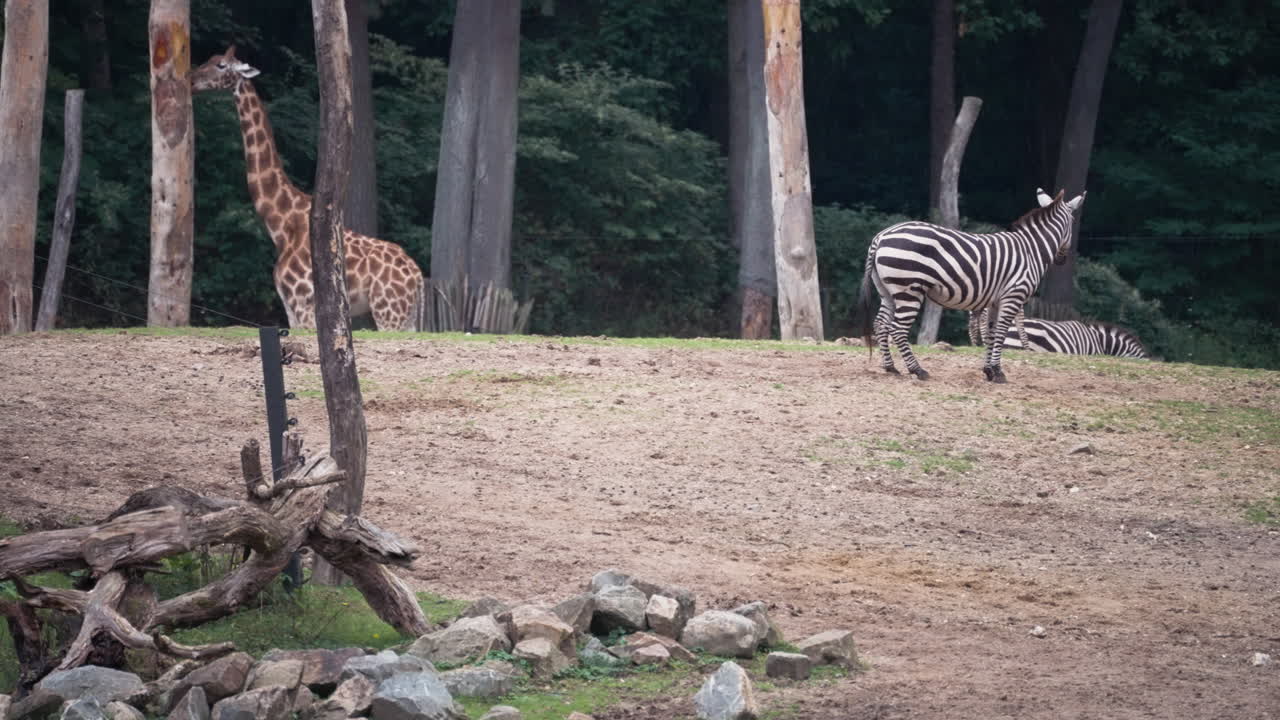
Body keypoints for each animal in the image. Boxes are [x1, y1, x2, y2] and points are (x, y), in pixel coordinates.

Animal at [191, 46, 424, 330]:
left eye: (221, 65)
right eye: (211, 60)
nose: (191, 80)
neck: (281, 227)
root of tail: (417, 276)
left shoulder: (303, 304)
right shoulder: (290, 309)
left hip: (388, 313)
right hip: (406, 315)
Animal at [857, 188, 1085, 383]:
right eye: (1073, 222)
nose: (1062, 260)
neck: (1032, 250)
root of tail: (881, 236)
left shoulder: (995, 300)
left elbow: (991, 333)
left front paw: (989, 371)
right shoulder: (1013, 296)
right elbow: (1001, 332)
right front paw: (998, 372)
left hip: (887, 290)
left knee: (880, 324)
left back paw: (890, 367)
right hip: (909, 290)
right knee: (897, 329)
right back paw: (918, 370)